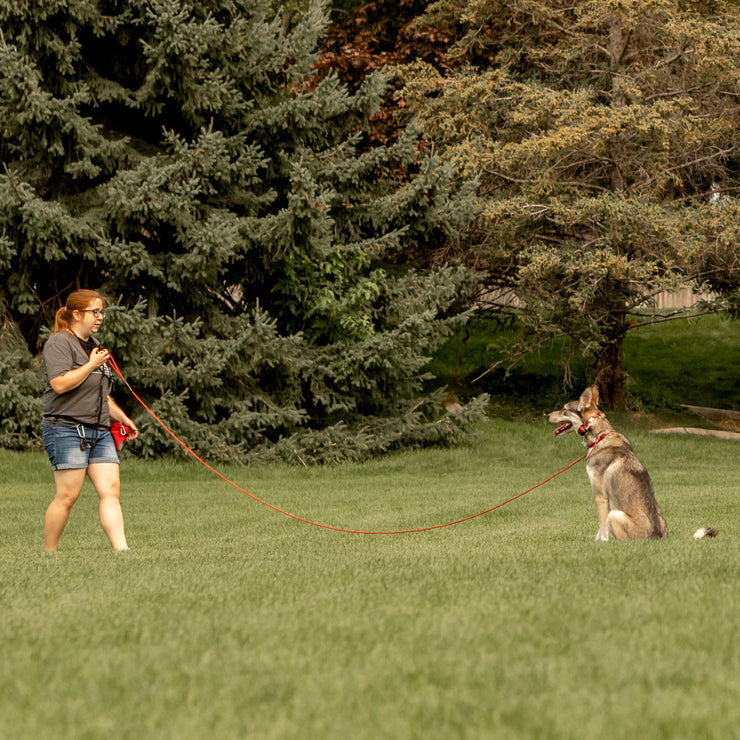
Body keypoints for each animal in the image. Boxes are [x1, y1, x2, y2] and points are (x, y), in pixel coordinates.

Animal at [548, 384, 668, 540]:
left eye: (564, 409)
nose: (547, 415)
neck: (599, 437)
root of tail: (655, 537)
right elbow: (600, 529)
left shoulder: (600, 495)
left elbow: (602, 529)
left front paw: (602, 543)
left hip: (614, 515)